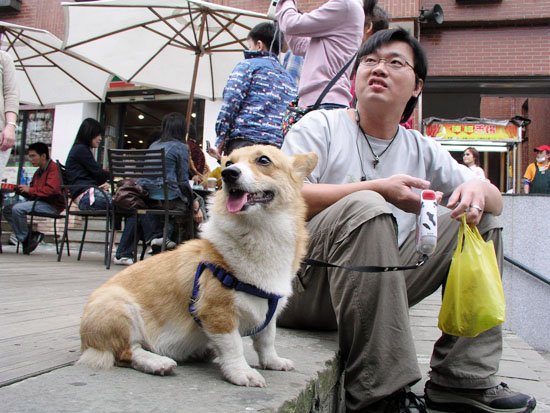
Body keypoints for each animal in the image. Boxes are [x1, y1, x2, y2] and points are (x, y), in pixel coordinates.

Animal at [77, 145, 320, 386]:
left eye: (263, 160)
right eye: (228, 162)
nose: (228, 174)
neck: (261, 232)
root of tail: (85, 342)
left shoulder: (270, 307)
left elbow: (266, 340)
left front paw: (273, 362)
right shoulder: (218, 313)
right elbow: (234, 346)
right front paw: (242, 373)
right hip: (118, 308)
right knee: (126, 352)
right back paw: (157, 362)